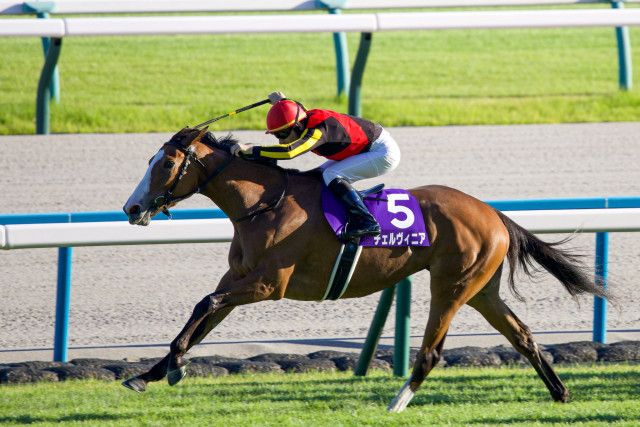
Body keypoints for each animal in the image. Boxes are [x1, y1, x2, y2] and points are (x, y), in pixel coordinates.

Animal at [122, 126, 608, 412]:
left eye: (167, 163)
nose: (132, 208)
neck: (263, 203)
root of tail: (493, 213)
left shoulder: (266, 284)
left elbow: (205, 305)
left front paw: (175, 368)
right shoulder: (237, 279)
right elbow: (201, 315)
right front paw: (150, 374)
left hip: (451, 284)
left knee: (432, 351)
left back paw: (396, 405)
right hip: (481, 290)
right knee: (523, 336)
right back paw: (560, 393)